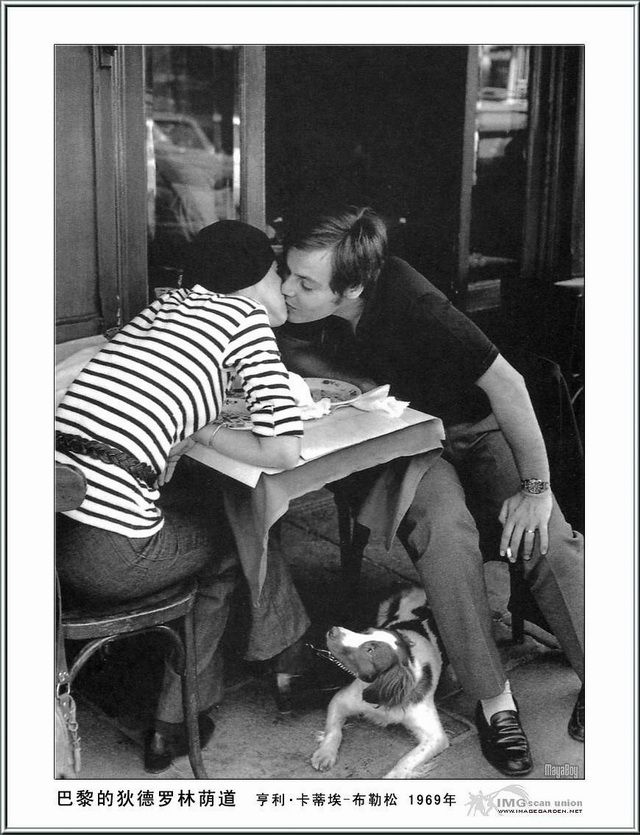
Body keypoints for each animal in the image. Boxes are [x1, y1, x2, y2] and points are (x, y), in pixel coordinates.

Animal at [311, 586, 449, 779]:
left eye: (370, 650)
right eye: (365, 632)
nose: (333, 630)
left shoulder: (436, 736)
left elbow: (406, 760)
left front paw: (393, 775)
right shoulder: (340, 700)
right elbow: (334, 731)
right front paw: (325, 753)